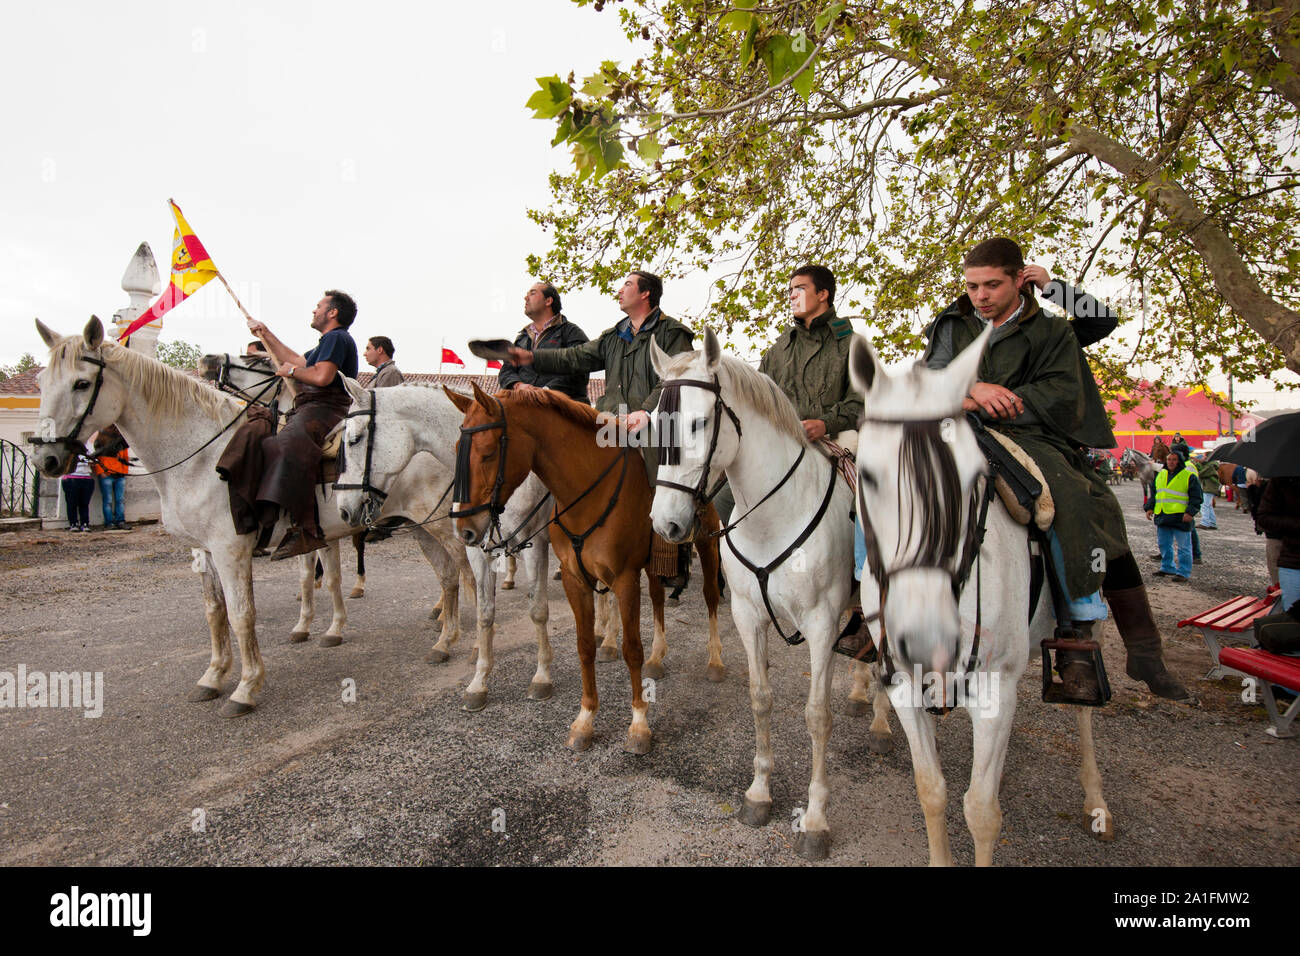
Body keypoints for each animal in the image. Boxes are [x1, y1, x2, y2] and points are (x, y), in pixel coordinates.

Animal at [449, 382, 728, 754]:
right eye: (456, 450)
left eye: (488, 452)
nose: (465, 529)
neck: (588, 492)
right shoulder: (574, 578)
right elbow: (584, 646)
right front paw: (585, 719)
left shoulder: (624, 579)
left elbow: (631, 650)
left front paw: (639, 725)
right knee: (657, 598)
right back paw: (658, 657)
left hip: (708, 543)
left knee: (710, 595)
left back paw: (715, 660)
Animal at [650, 327, 883, 858]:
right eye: (654, 424)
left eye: (698, 423)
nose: (665, 524)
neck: (775, 517)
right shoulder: (747, 616)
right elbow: (760, 698)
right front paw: (758, 794)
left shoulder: (821, 625)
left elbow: (817, 716)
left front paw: (815, 821)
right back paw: (862, 694)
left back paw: (881, 719)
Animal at [847, 329, 1112, 868]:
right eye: (867, 475)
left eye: (975, 479)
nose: (923, 639)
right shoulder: (904, 685)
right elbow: (932, 789)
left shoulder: (995, 688)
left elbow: (982, 812)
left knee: (1083, 715)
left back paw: (1096, 801)